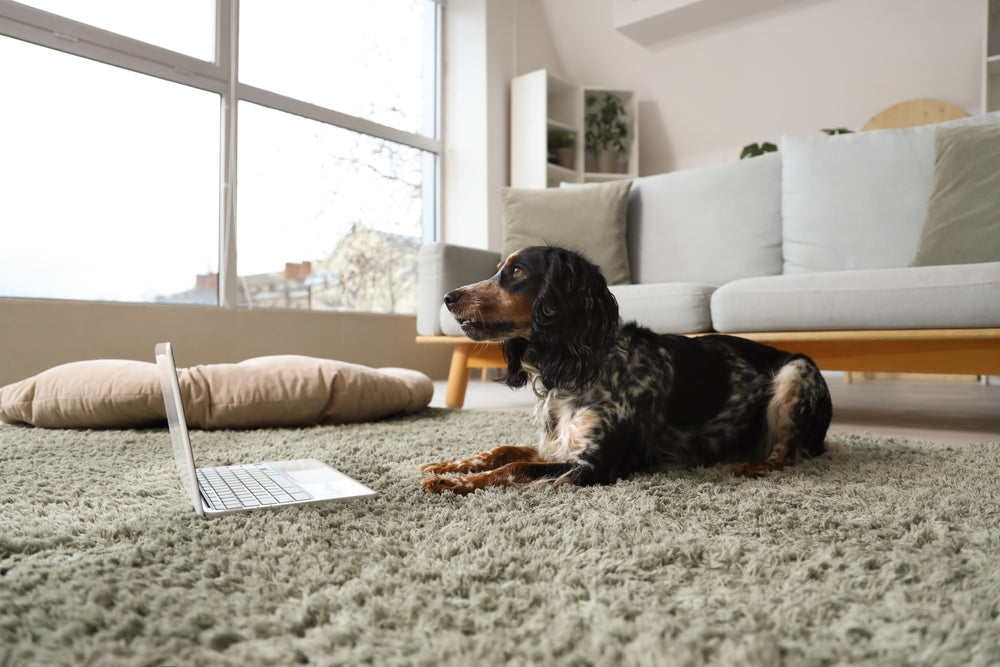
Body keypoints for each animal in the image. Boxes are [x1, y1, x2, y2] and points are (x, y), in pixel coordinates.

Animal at [418, 247, 832, 496]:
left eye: (517, 271)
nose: (448, 297)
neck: (578, 366)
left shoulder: (597, 465)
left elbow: (516, 467)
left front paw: (452, 482)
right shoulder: (557, 444)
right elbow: (503, 450)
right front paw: (448, 464)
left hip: (796, 371)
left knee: (785, 453)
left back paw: (753, 466)